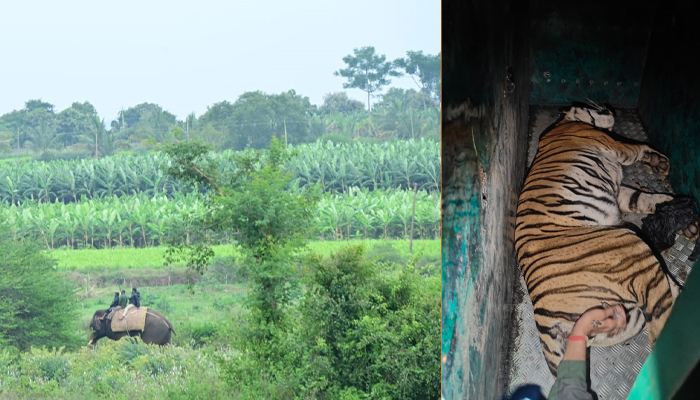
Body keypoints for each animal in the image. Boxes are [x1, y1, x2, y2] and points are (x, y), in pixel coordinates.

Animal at [514, 101, 698, 376]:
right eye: (596, 108)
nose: (610, 110)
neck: (566, 121)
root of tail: (543, 319)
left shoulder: (621, 191)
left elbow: (645, 198)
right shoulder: (617, 146)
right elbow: (640, 148)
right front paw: (657, 160)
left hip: (628, 316)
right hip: (630, 245)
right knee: (660, 318)